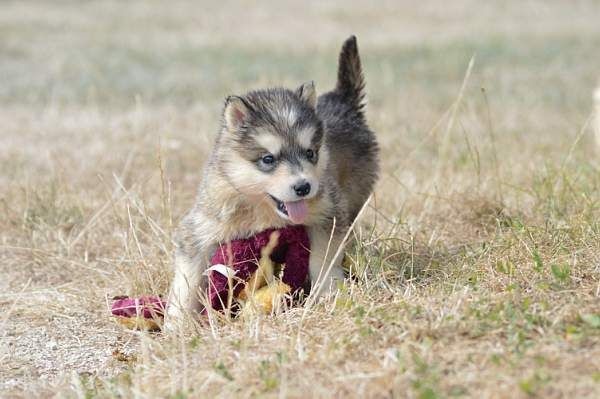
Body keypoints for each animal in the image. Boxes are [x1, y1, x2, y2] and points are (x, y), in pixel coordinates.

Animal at [164, 36, 380, 326]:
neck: (264, 211)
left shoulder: (329, 215)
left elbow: (323, 258)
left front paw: (328, 293)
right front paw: (176, 323)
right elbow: (186, 281)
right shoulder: (200, 228)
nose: (304, 187)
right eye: (268, 159)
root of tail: (340, 100)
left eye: (310, 153)